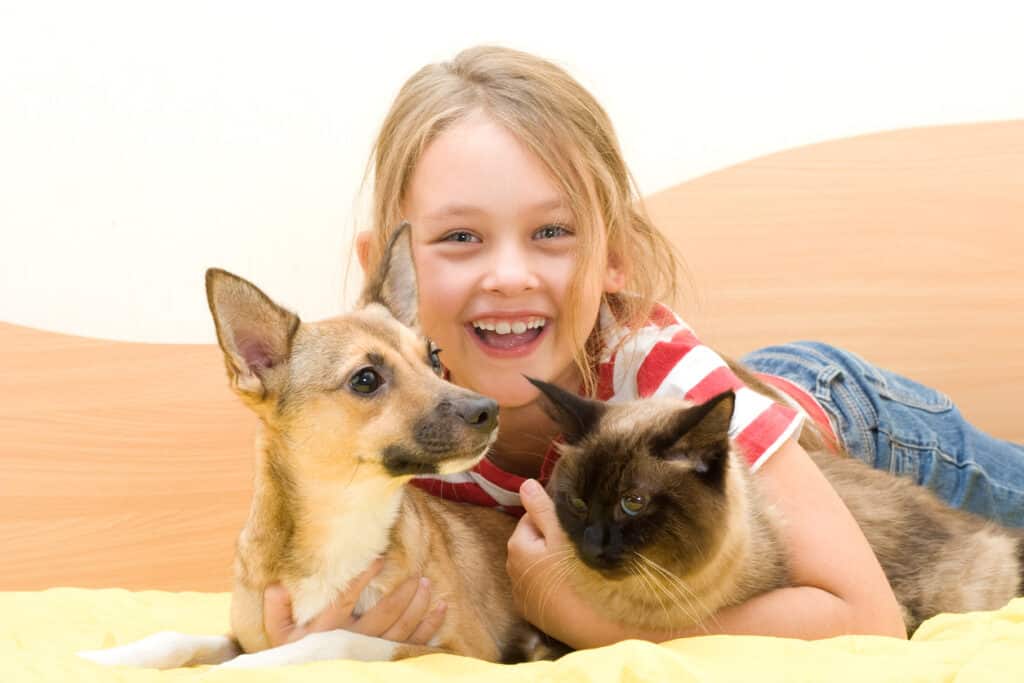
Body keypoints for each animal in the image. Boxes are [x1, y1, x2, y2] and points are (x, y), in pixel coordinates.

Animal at [77, 224, 552, 667]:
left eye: (434, 359)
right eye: (366, 379)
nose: (488, 410)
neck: (345, 515)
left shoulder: (462, 652)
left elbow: (334, 638)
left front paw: (249, 667)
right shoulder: (245, 632)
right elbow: (177, 638)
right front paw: (109, 659)